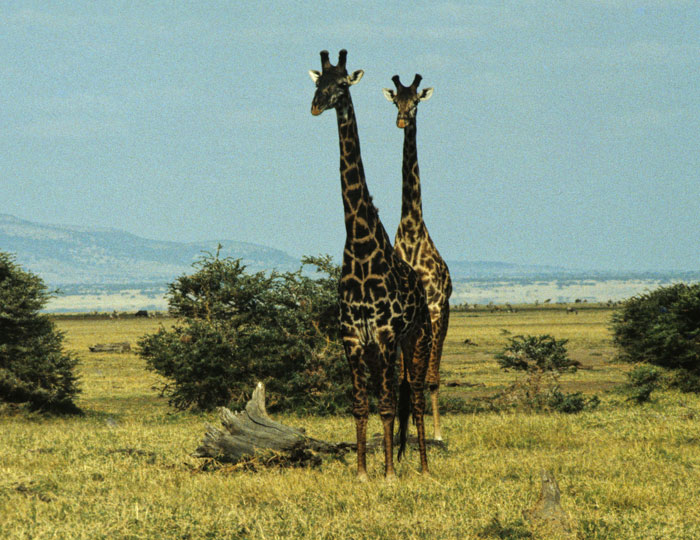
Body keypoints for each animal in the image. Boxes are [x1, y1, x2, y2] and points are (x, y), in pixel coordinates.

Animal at [310, 50, 432, 478]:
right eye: (318, 82)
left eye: (342, 83)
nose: (316, 106)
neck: (360, 247)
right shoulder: (352, 337)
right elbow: (361, 405)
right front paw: (364, 471)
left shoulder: (385, 335)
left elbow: (386, 405)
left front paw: (390, 474)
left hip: (417, 339)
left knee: (414, 396)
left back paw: (424, 468)